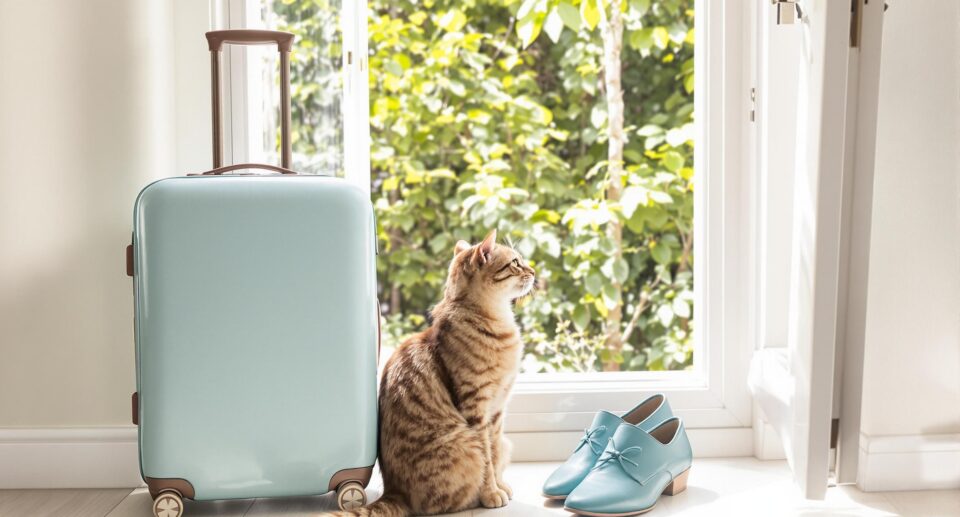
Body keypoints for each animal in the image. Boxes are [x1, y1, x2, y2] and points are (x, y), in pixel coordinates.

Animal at [334, 230, 536, 516]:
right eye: (515, 263)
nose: (534, 271)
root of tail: (394, 492)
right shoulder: (477, 409)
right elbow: (488, 458)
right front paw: (491, 493)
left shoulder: (497, 411)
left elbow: (495, 452)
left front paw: (500, 485)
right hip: (466, 445)